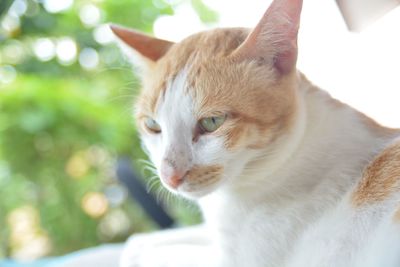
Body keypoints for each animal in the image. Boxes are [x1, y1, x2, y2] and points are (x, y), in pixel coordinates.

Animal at [111, 0, 400, 266]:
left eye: (212, 122)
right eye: (152, 125)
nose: (169, 176)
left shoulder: (234, 259)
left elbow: (166, 252)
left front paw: (135, 253)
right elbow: (168, 237)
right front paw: (140, 242)